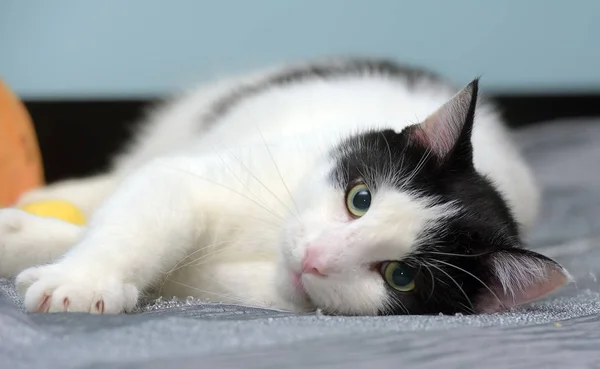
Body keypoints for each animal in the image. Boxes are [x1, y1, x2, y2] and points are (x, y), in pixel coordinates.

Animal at [1, 57, 572, 314]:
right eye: (360, 198)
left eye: (401, 276)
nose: (316, 257)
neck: (266, 253)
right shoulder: (211, 176)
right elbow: (151, 205)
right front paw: (82, 279)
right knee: (127, 174)